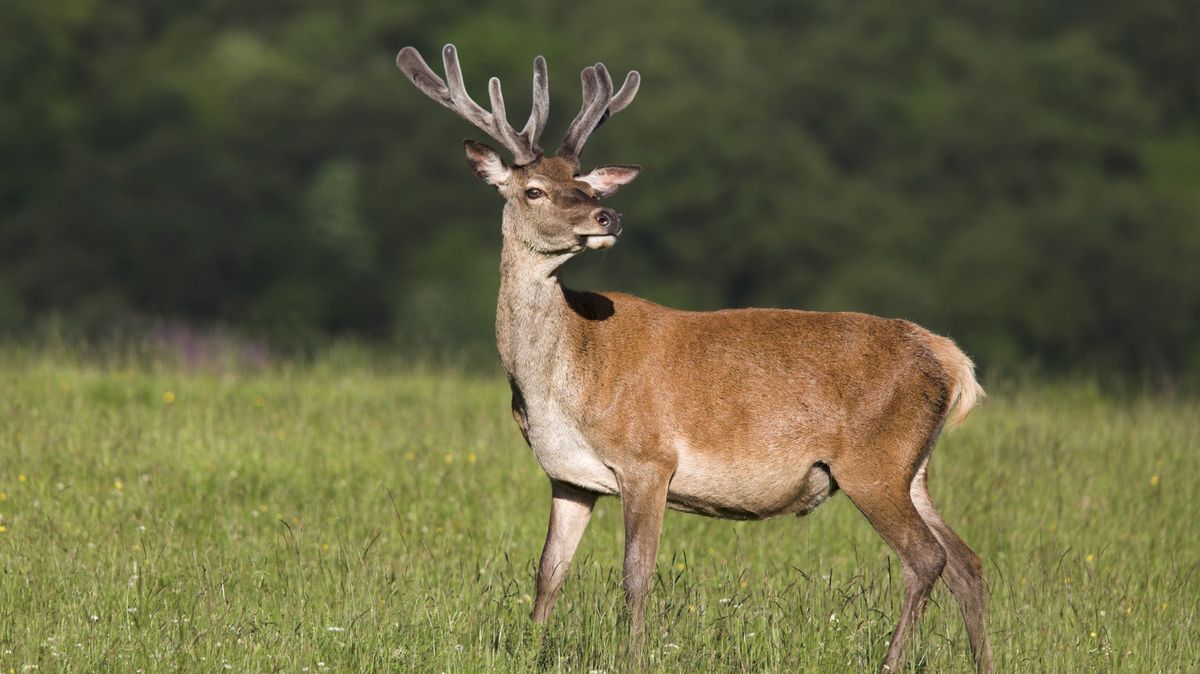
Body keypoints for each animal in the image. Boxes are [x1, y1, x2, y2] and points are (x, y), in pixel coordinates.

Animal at [393, 43, 993, 671]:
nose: (609, 217)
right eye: (534, 189)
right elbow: (548, 574)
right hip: (913, 468)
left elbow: (635, 574)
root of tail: (948, 359)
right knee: (968, 562)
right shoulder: (569, 476)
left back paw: (892, 661)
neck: (561, 381)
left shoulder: (648, 458)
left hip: (873, 462)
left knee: (927, 558)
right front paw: (532, 651)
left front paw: (632, 657)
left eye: (589, 187)